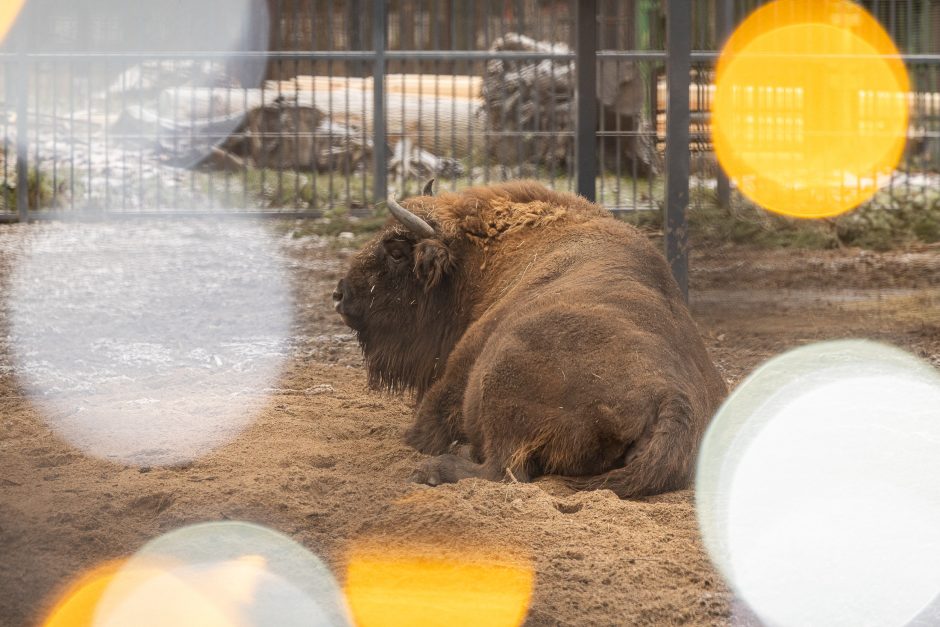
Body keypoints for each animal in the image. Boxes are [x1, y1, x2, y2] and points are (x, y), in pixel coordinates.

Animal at [332, 179, 728, 498]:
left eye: (397, 251)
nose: (340, 294)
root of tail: (672, 399)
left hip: (498, 376)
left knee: (502, 469)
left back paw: (433, 469)